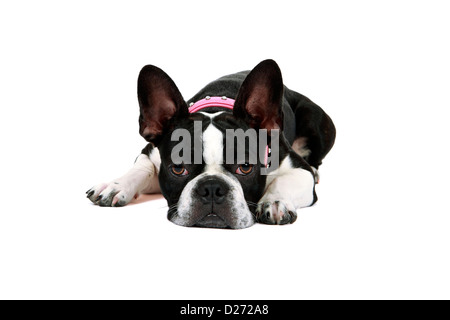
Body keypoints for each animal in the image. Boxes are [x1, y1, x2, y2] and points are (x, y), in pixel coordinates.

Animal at [86, 58, 336, 228]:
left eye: (245, 167)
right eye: (178, 168)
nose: (212, 188)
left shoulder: (298, 168)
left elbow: (285, 181)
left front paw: (274, 201)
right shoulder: (150, 152)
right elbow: (141, 168)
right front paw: (115, 185)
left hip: (317, 122)